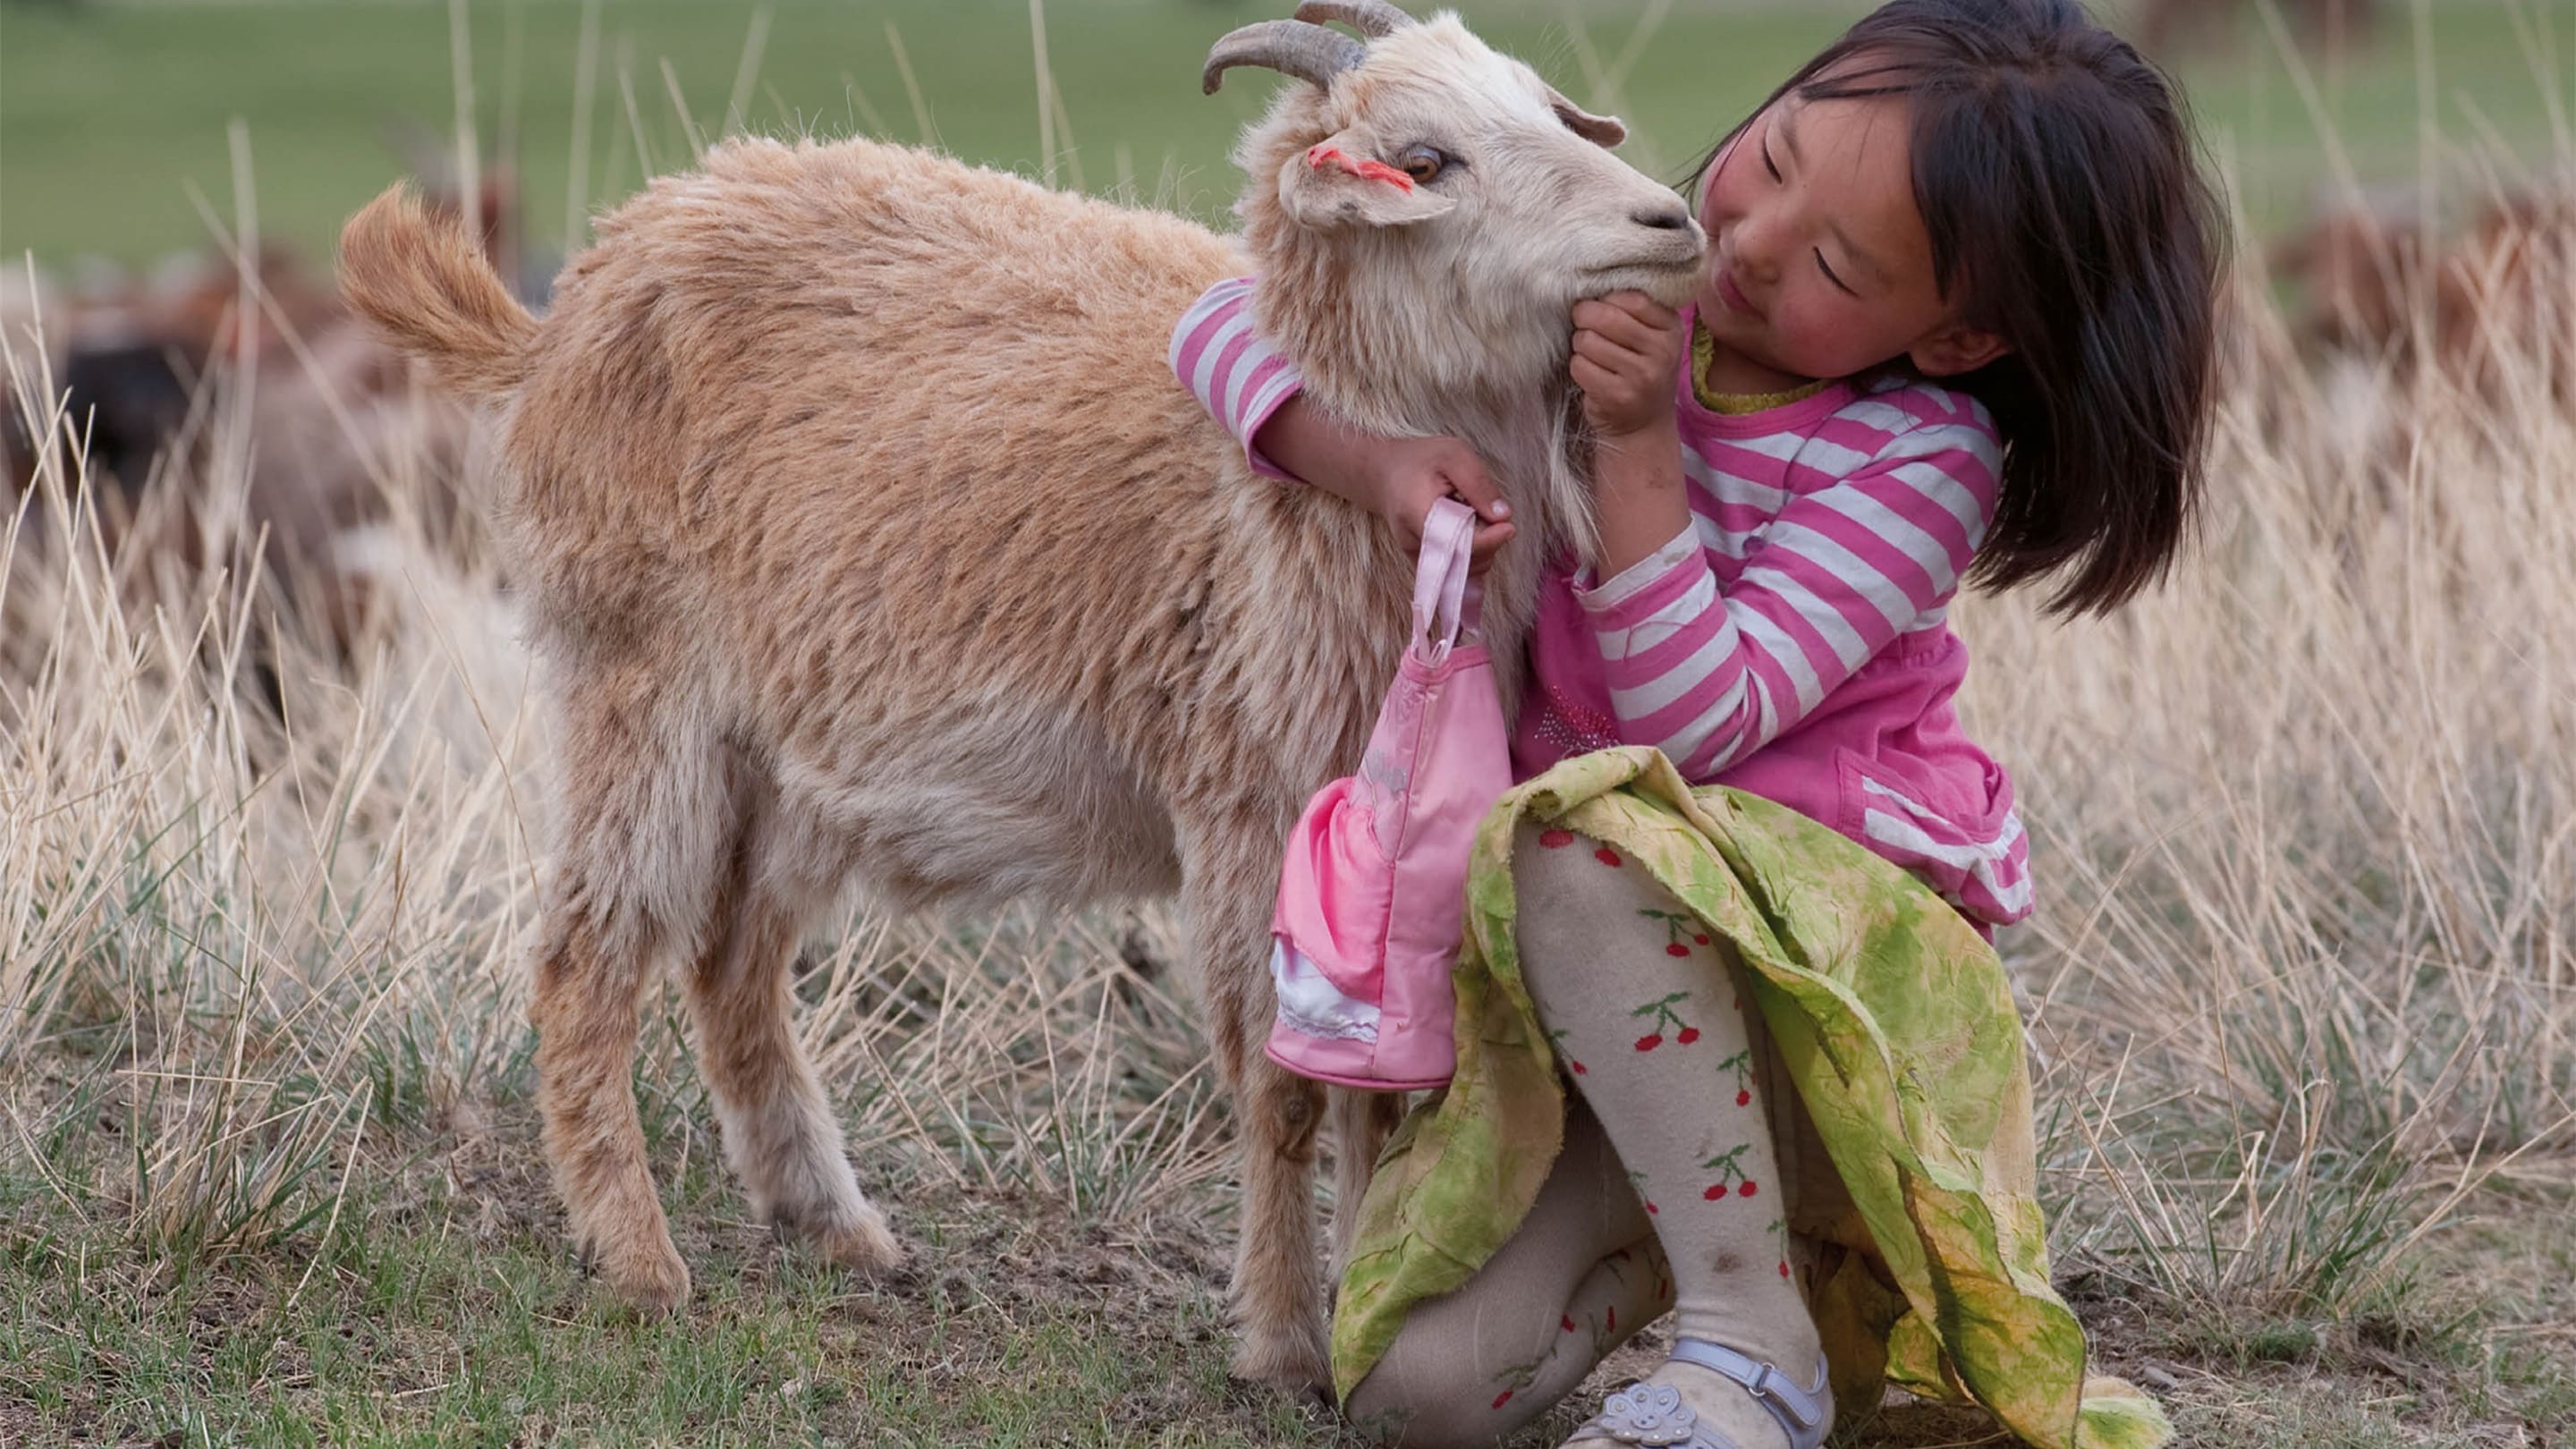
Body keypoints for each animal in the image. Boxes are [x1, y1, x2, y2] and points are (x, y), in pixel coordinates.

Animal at [343, 0, 1710, 1392]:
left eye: (1546, 107)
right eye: (1426, 161)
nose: (1669, 222)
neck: (1278, 488)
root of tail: (569, 304)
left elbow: (1378, 1104)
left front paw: (1361, 1315)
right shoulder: (1243, 803)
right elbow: (1277, 1090)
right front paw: (1282, 1340)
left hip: (782, 747)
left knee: (731, 959)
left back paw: (834, 1224)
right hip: (638, 675)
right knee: (589, 951)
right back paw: (637, 1259)